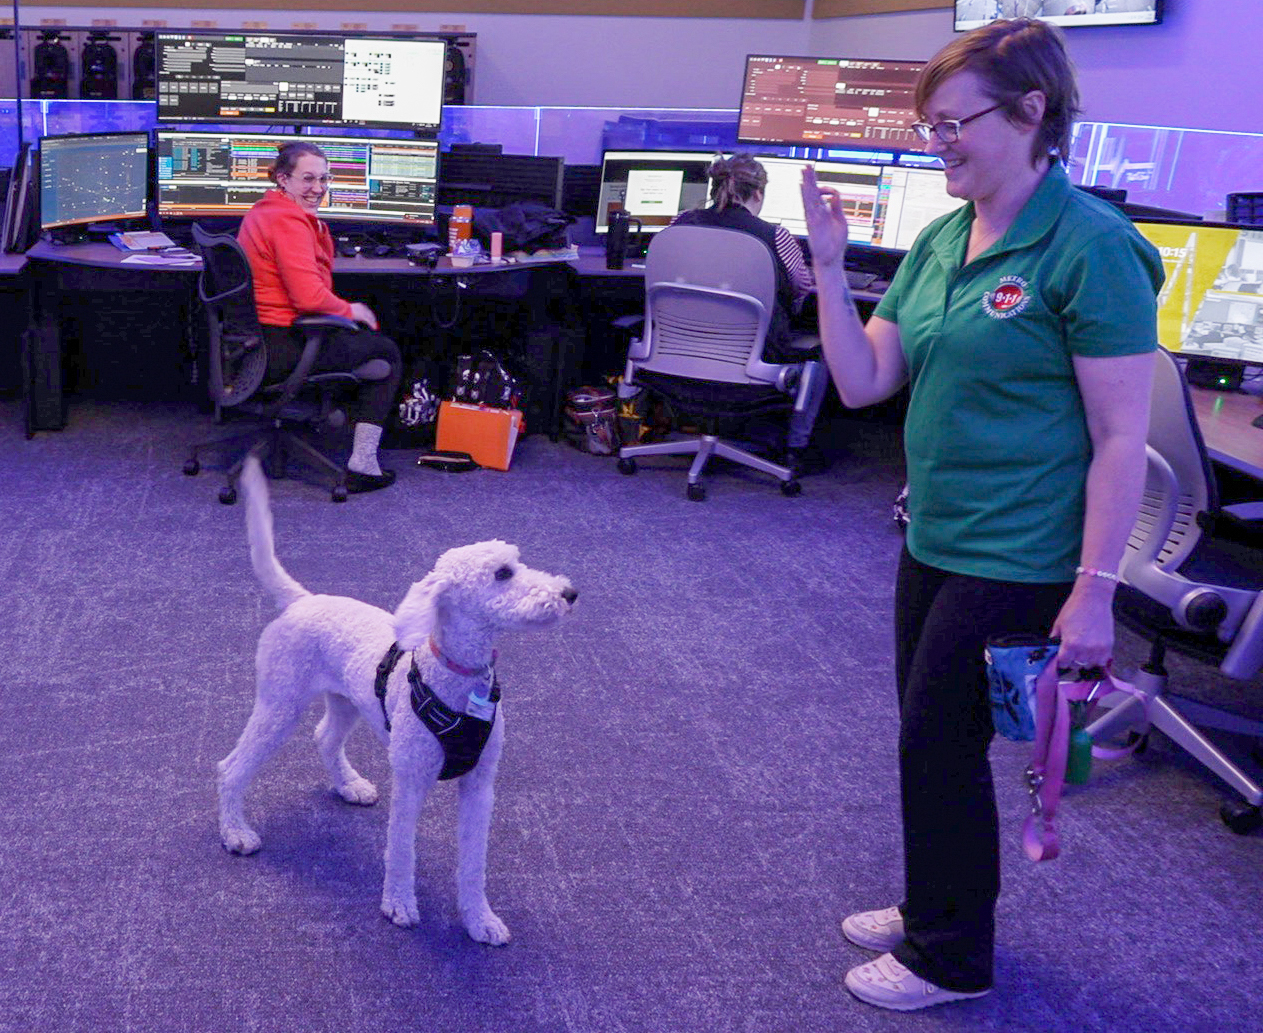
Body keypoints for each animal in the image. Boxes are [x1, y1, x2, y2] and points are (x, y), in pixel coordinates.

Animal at [215, 454, 578, 939]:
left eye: (518, 563)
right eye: (503, 574)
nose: (570, 593)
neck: (456, 677)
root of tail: (302, 600)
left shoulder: (481, 787)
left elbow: (474, 863)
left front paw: (479, 919)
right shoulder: (410, 780)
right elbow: (401, 850)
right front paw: (399, 903)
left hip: (346, 702)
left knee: (324, 738)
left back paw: (348, 784)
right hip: (279, 705)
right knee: (231, 767)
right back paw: (235, 832)